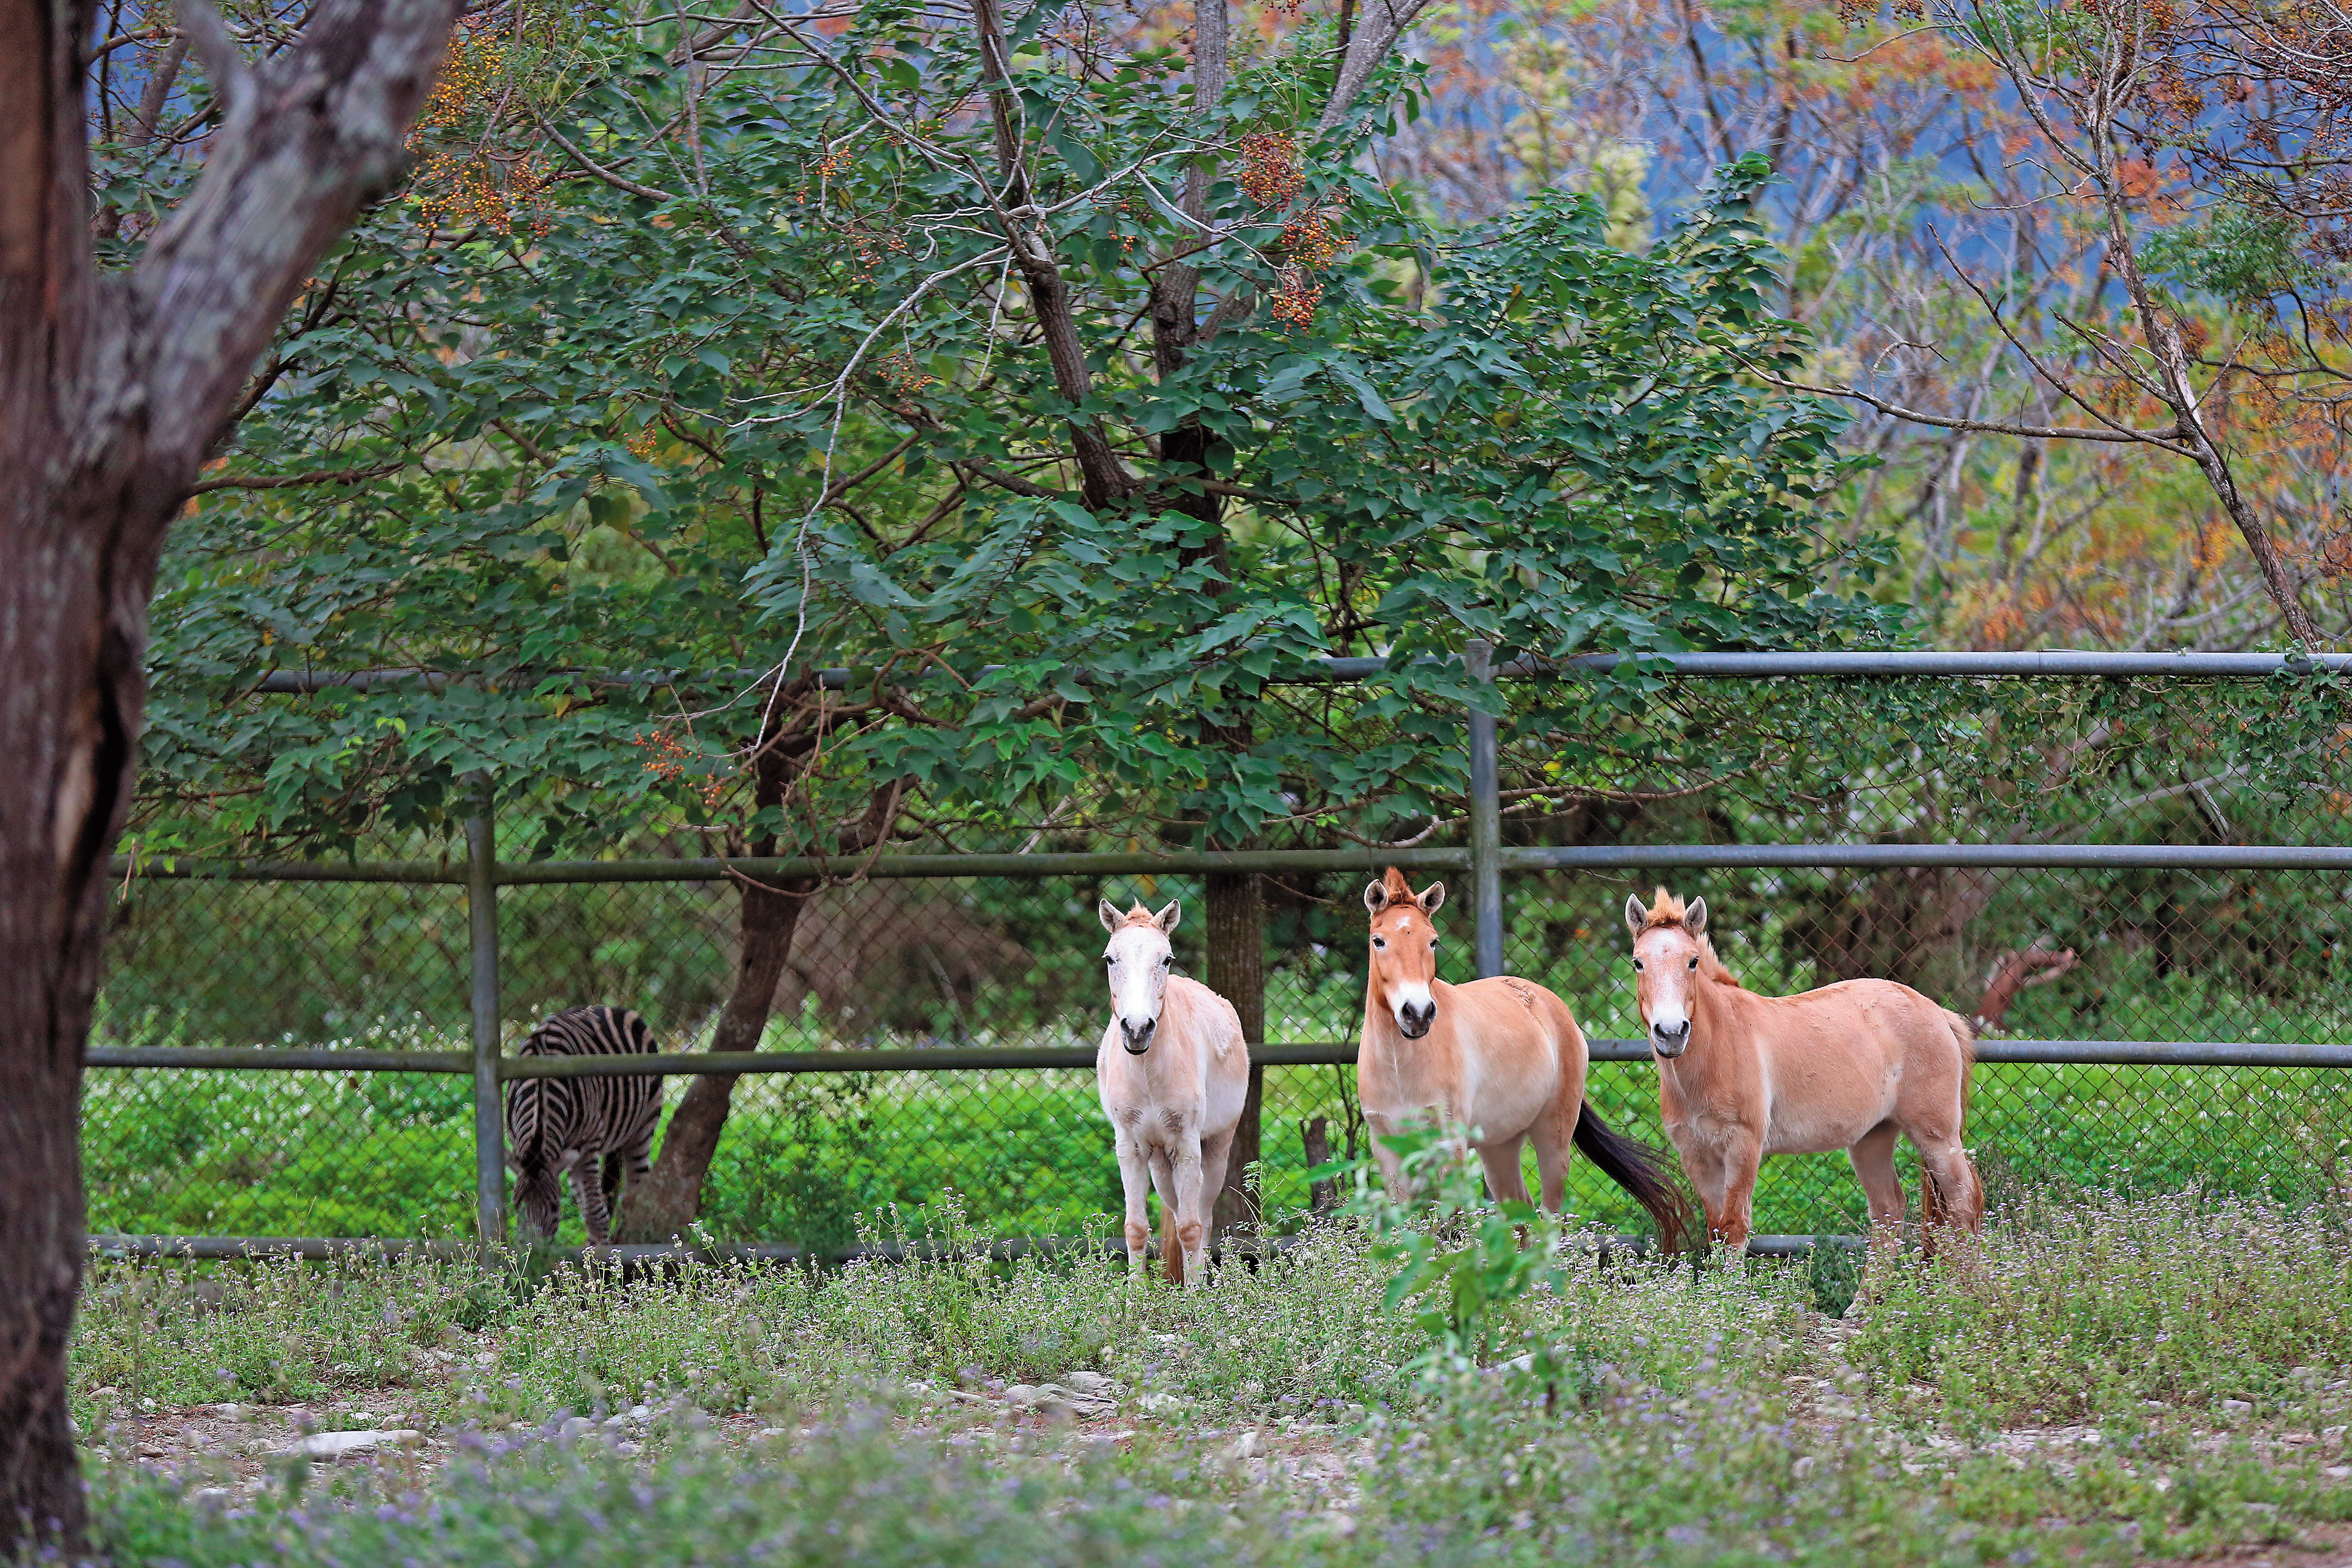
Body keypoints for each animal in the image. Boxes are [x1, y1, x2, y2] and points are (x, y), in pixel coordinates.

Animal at [1095, 898, 1251, 1287]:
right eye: (1110, 959)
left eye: (1166, 959)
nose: (1138, 1029)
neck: (1148, 1073)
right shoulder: (1132, 1148)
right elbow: (1136, 1229)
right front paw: (1136, 1297)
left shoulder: (1187, 1145)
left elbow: (1192, 1229)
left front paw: (1195, 1297)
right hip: (1160, 1163)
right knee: (1178, 1212)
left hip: (1215, 1150)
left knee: (1203, 1220)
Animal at [1358, 868, 1691, 1249]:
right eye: (1379, 941)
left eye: (1433, 942)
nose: (1418, 1014)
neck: (1400, 1067)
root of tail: (1554, 1006)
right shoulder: (1389, 1150)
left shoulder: (1449, 1147)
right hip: (1499, 1145)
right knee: (1521, 1215)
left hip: (1552, 1139)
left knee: (1551, 1220)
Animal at [1623, 887, 1984, 1259]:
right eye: (1638, 962)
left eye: (1693, 961)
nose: (1671, 1033)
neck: (1716, 1052)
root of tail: (1938, 1012)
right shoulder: (1696, 1155)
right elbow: (1717, 1232)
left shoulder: (1743, 1147)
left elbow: (1735, 1230)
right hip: (1873, 1137)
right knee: (1889, 1210)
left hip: (1936, 1135)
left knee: (1963, 1200)